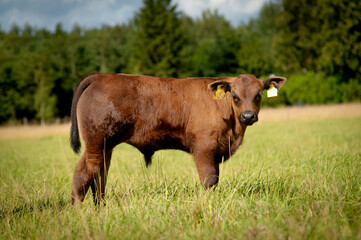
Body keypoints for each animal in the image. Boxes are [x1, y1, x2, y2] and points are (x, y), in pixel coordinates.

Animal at [69, 73, 286, 204]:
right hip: (95, 144)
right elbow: (209, 179)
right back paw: (79, 210)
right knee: (83, 172)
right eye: (235, 96)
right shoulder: (203, 148)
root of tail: (100, 76)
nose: (248, 116)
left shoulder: (216, 151)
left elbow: (215, 179)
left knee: (100, 175)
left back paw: (100, 206)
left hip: (106, 146)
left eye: (258, 95)